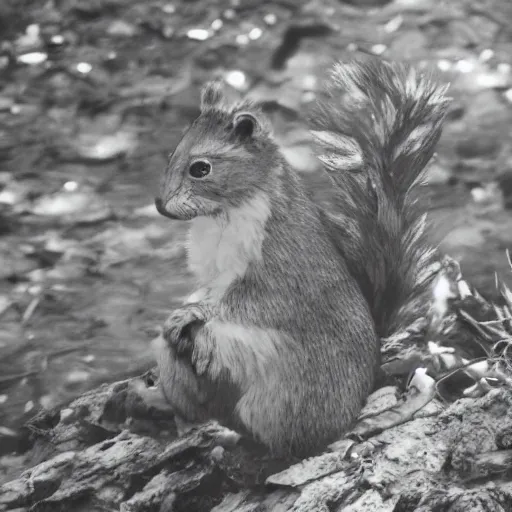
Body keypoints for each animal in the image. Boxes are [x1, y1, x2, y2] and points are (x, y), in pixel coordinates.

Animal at [151, 59, 448, 456]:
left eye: (201, 168)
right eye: (172, 153)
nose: (160, 205)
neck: (223, 214)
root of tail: (349, 413)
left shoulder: (280, 266)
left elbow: (248, 302)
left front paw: (196, 311)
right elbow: (206, 289)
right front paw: (186, 308)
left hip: (287, 396)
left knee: (285, 438)